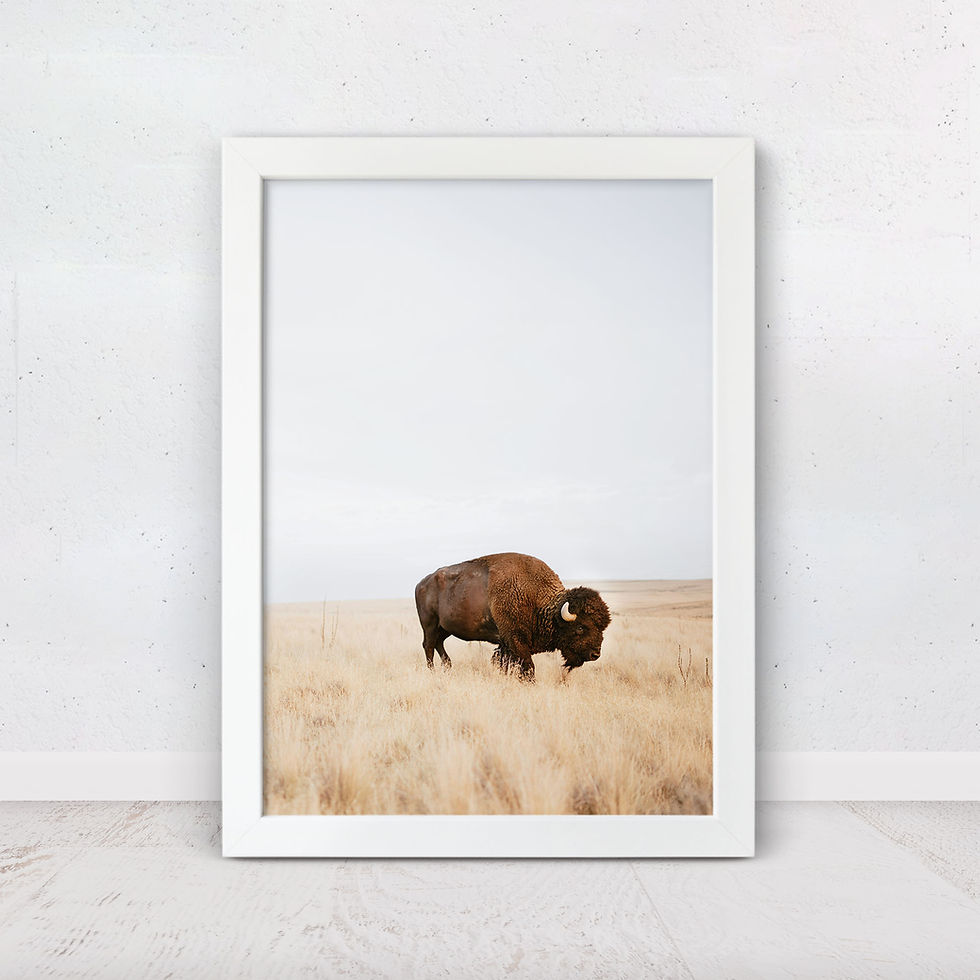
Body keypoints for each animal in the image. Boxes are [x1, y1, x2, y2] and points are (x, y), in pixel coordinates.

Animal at [414, 552, 611, 680]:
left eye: (602, 627)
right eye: (581, 627)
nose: (595, 654)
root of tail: (421, 583)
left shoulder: (507, 644)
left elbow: (505, 664)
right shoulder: (516, 640)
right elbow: (528, 667)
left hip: (444, 628)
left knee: (438, 644)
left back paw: (448, 667)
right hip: (429, 624)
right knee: (429, 646)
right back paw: (432, 671)